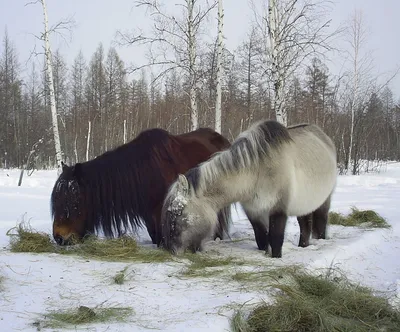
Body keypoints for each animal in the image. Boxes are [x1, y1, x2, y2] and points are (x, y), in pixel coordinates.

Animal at [161, 120, 336, 258]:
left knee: (320, 223)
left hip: (324, 201)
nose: (172, 250)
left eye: (179, 213)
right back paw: (303, 245)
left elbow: (276, 239)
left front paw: (275, 258)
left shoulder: (278, 210)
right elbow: (262, 238)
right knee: (305, 225)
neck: (257, 172)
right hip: (304, 204)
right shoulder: (254, 211)